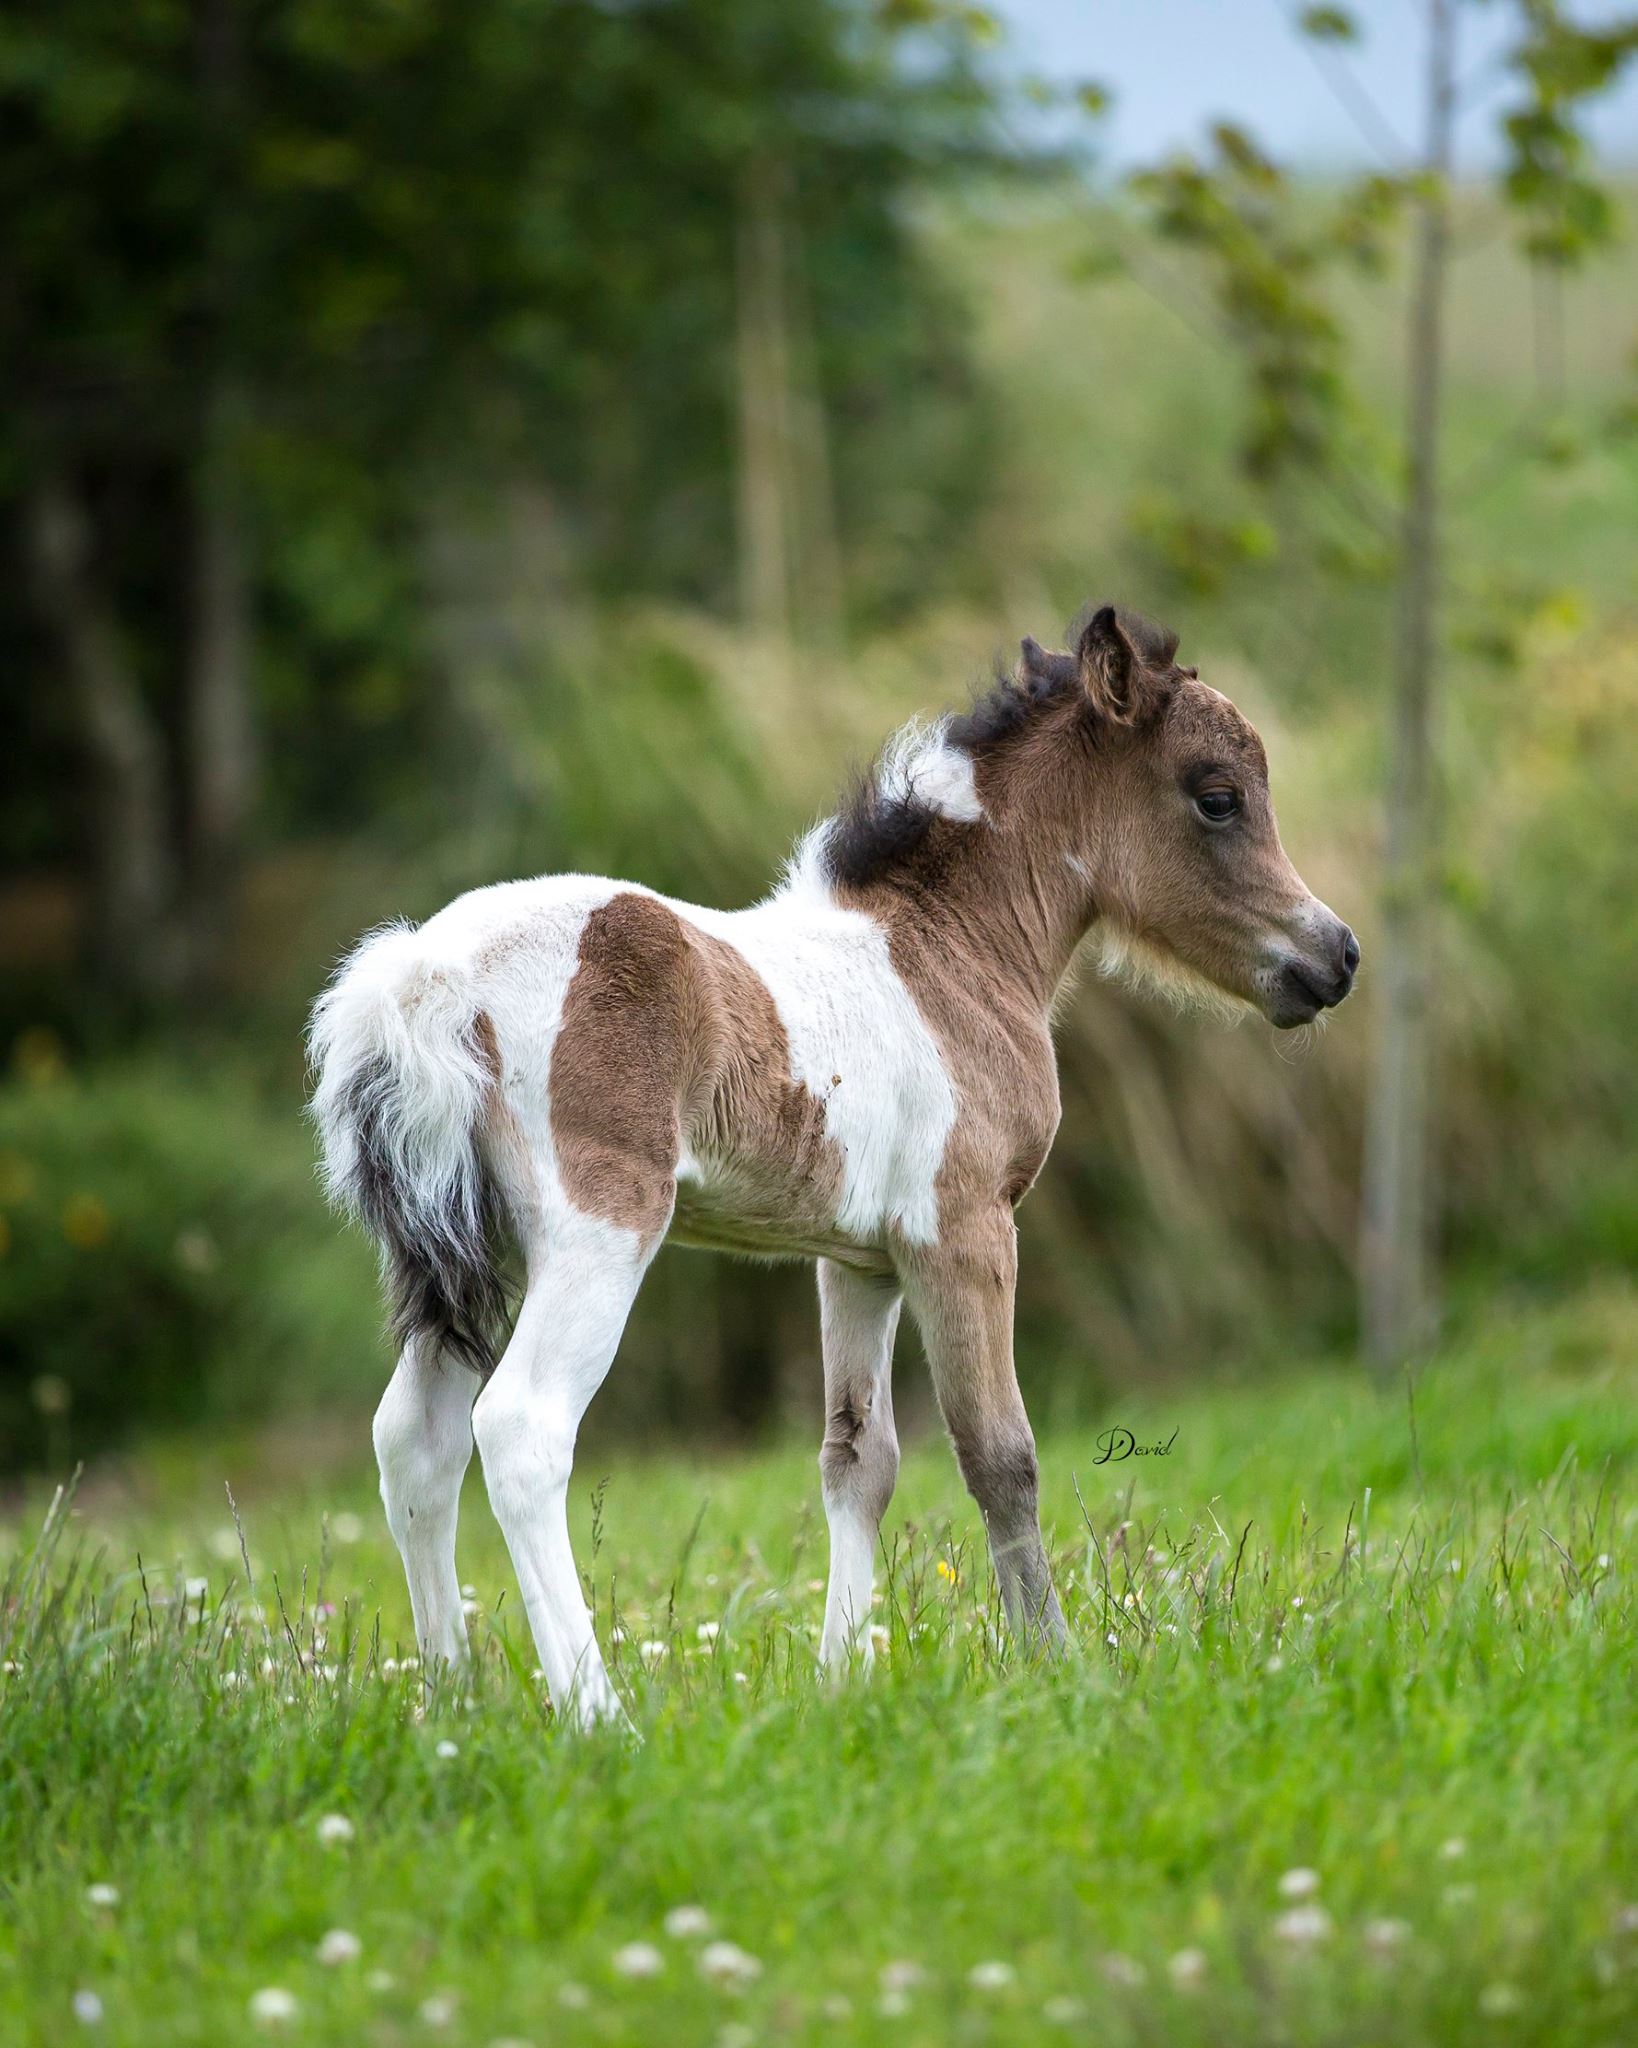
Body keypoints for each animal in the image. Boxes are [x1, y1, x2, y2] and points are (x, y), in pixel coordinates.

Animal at [308, 603, 1358, 1726]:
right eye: (1217, 796)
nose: (1336, 956)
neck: (943, 954)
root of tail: (424, 974)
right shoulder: (963, 1231)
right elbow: (1000, 1454)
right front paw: (1054, 1666)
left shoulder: (857, 1259)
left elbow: (860, 1458)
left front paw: (839, 1679)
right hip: (600, 1228)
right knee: (521, 1428)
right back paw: (600, 1716)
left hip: (462, 1247)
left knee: (414, 1438)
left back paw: (450, 1702)